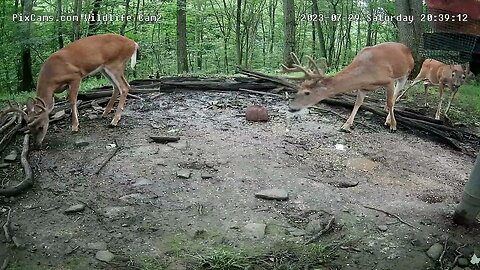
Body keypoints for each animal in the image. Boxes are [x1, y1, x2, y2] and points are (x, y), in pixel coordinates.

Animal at [284, 41, 414, 133]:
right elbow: (357, 103)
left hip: (405, 74)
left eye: (307, 92)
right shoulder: (363, 87)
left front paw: (393, 126)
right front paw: (346, 125)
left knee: (395, 96)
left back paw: (389, 120)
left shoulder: (389, 80)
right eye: (298, 89)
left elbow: (390, 101)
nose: (290, 107)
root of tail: (407, 49)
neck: (366, 72)